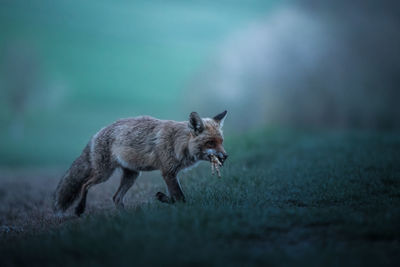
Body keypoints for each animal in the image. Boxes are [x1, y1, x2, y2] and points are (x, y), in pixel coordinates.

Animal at [53, 110, 228, 217]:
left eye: (221, 141)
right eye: (210, 143)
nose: (225, 156)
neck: (179, 142)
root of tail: (98, 132)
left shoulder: (171, 173)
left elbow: (174, 198)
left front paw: (162, 197)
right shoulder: (168, 172)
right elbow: (180, 198)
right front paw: (180, 207)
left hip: (132, 175)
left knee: (116, 198)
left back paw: (126, 218)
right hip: (104, 174)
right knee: (85, 184)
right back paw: (79, 209)